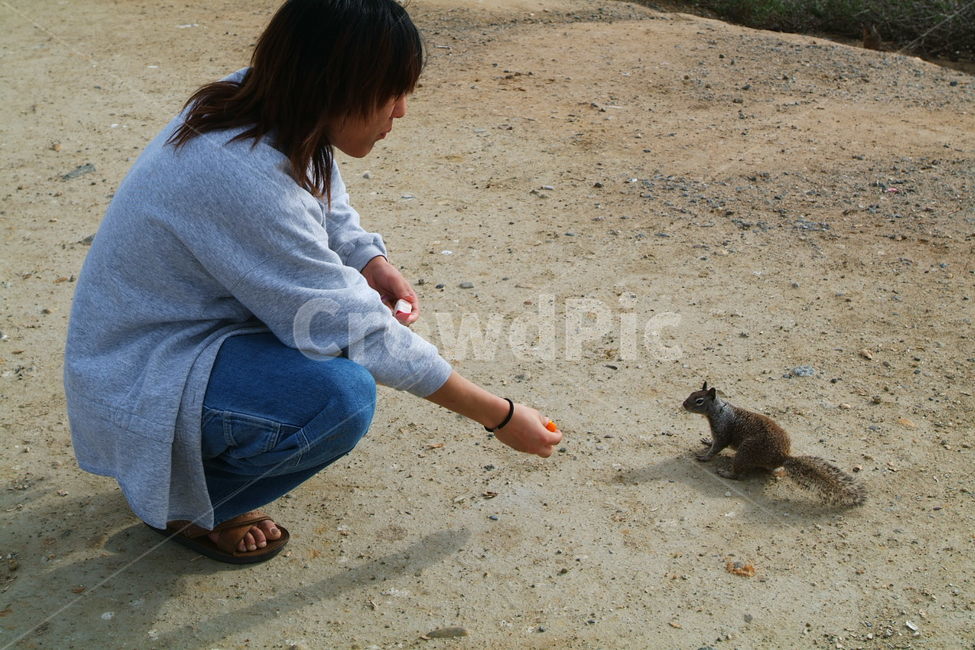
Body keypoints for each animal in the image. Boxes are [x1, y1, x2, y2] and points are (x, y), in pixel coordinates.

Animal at [682, 382, 866, 507]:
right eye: (691, 393)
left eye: (699, 400)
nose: (683, 404)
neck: (719, 411)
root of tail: (782, 456)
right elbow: (712, 443)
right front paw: (707, 442)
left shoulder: (723, 432)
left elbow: (717, 447)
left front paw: (704, 456)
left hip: (745, 451)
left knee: (740, 476)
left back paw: (725, 472)